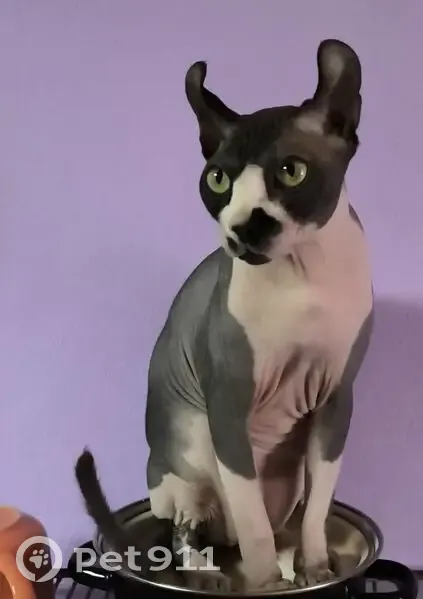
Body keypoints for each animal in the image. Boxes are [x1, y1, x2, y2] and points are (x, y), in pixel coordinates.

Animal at [75, 38, 373, 593]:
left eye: (291, 171)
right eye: (218, 180)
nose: (242, 227)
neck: (302, 278)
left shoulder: (335, 401)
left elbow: (318, 511)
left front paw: (315, 570)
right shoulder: (229, 406)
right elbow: (250, 517)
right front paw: (267, 585)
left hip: (286, 476)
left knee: (274, 520)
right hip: (187, 465)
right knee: (193, 529)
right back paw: (208, 575)